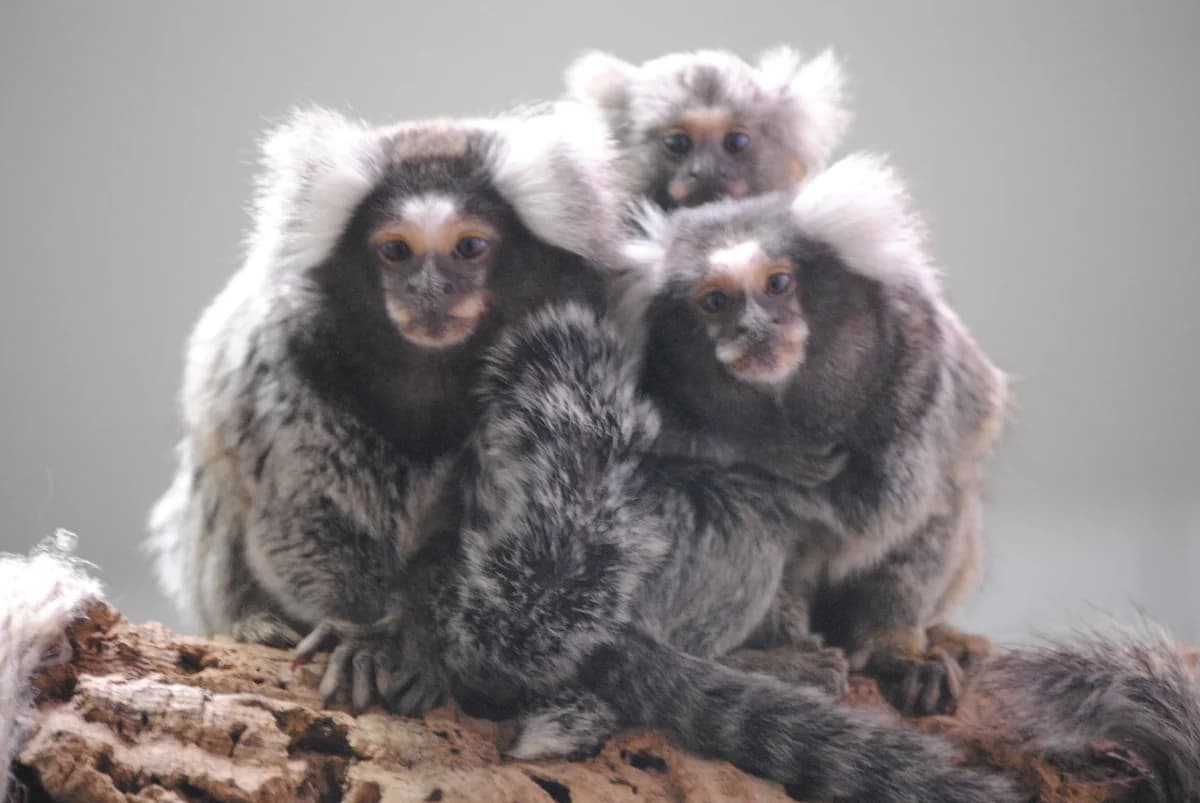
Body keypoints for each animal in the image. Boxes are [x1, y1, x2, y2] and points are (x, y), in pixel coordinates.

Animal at [145, 101, 623, 715]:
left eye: (470, 247)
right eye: (396, 250)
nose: (429, 292)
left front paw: (420, 644)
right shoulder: (288, 357)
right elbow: (304, 513)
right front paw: (364, 636)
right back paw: (253, 623)